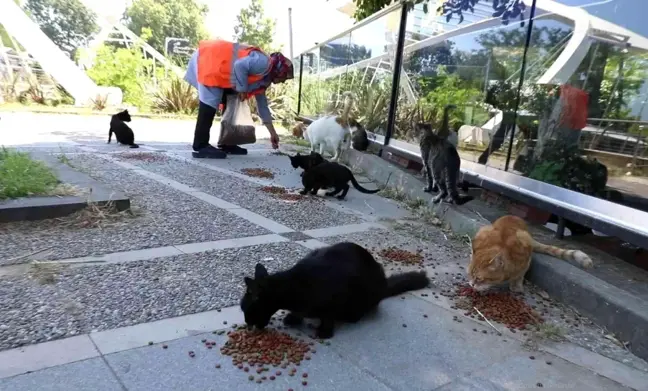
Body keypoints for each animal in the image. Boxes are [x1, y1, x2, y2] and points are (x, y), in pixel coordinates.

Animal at [239, 240, 430, 338]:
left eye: (247, 310)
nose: (247, 323)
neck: (294, 286)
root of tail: (383, 284)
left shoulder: (334, 299)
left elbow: (328, 317)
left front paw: (324, 331)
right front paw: (294, 317)